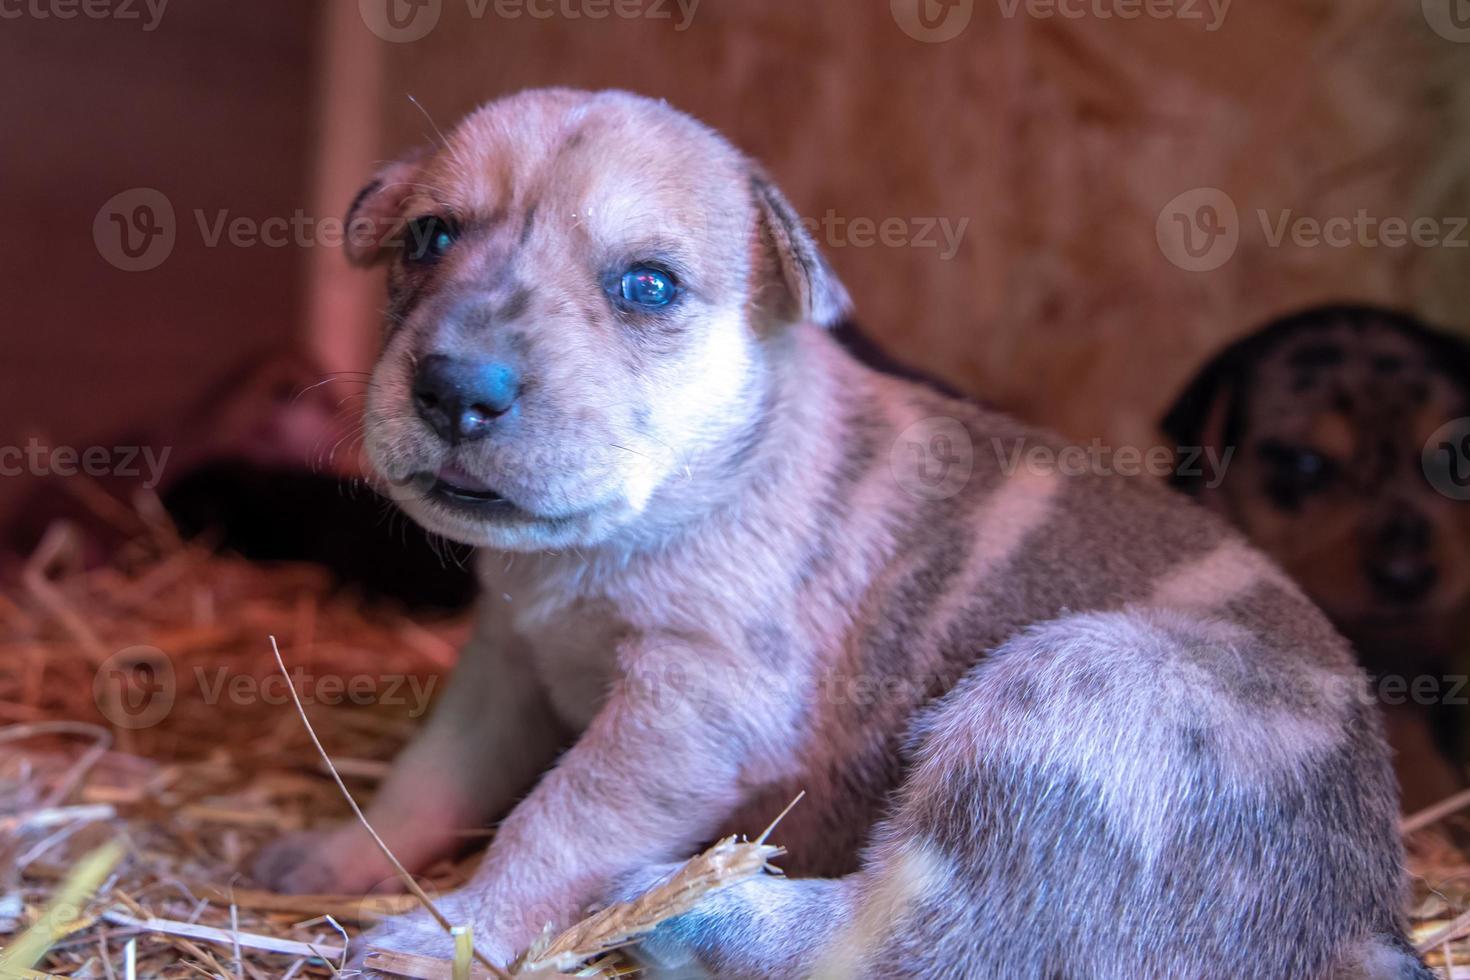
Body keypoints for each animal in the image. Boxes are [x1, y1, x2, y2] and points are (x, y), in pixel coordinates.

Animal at [252, 89, 1422, 975]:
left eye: (647, 285)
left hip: (1063, 691)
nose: (457, 389)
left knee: (910, 934)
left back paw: (693, 907)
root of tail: (1367, 927)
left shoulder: (689, 710)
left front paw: (439, 935)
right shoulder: (504, 662)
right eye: (429, 235)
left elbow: (554, 822)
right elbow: (431, 774)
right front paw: (331, 857)